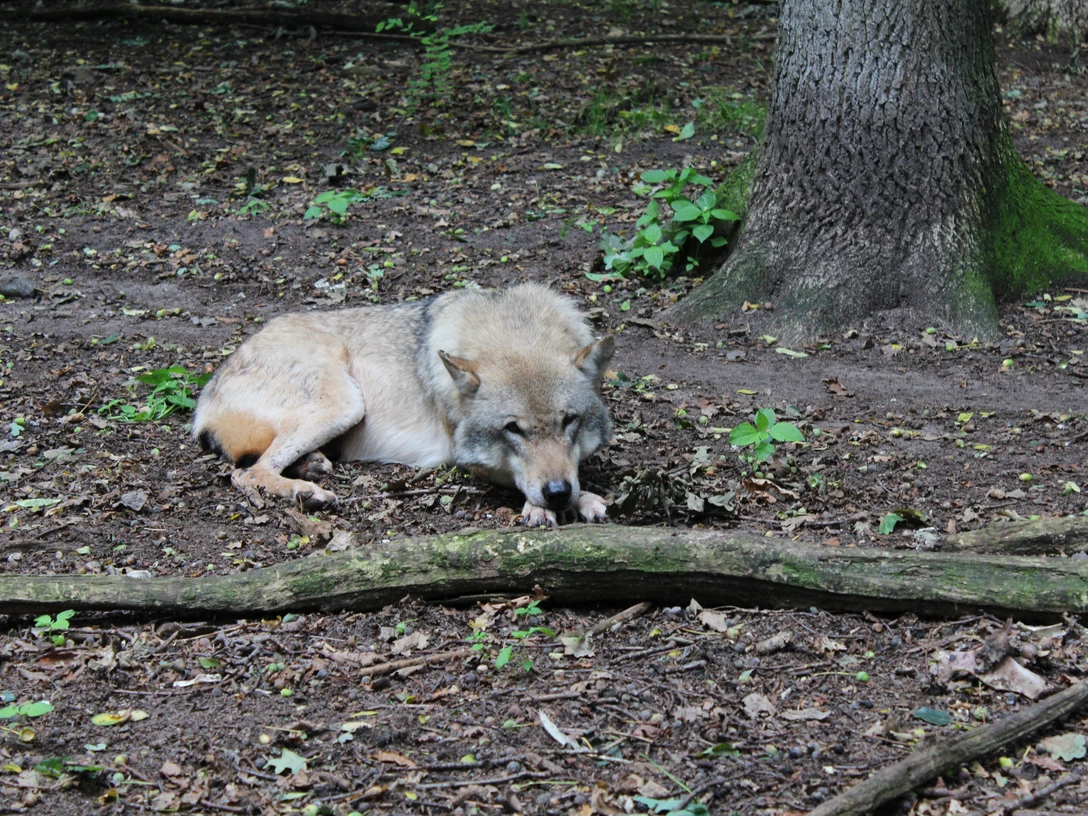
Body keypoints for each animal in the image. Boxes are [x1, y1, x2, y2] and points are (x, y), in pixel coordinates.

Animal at [192, 283, 615, 527]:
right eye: (512, 429)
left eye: (569, 421)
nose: (557, 492)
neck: (514, 332)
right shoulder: (462, 454)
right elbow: (517, 477)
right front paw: (550, 505)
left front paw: (577, 497)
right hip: (346, 403)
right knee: (247, 473)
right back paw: (306, 492)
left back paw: (312, 467)